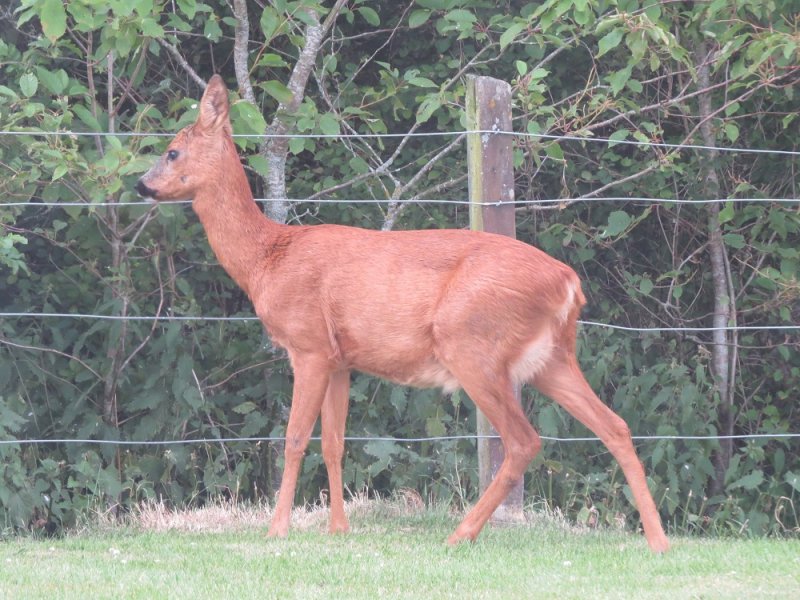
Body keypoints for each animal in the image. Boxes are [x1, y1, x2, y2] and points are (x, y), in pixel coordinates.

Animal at [136, 75, 669, 553]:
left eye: (172, 151)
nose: (141, 185)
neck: (266, 259)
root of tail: (569, 283)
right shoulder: (340, 359)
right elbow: (334, 442)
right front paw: (339, 530)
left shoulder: (308, 344)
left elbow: (293, 439)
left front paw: (277, 531)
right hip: (550, 356)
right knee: (615, 425)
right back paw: (658, 541)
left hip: (471, 344)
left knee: (524, 440)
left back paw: (460, 534)